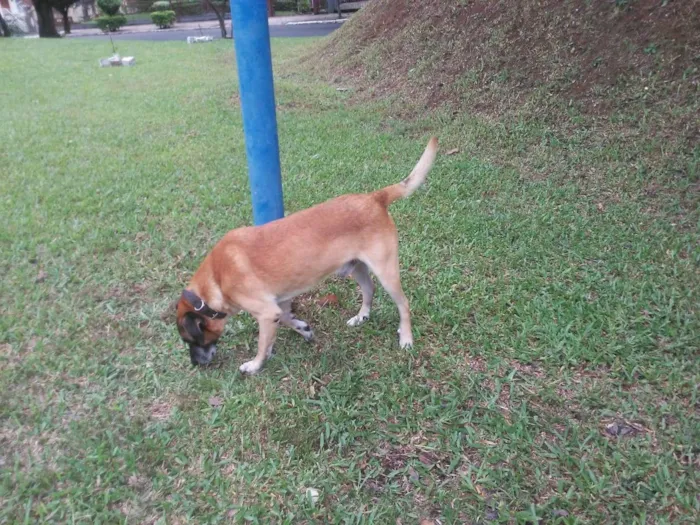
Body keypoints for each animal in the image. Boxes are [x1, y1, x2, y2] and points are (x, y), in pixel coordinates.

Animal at [175, 135, 438, 372]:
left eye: (190, 339)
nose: (195, 364)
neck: (216, 277)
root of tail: (374, 198)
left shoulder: (266, 312)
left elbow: (262, 345)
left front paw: (255, 364)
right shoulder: (278, 304)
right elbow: (286, 319)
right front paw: (303, 329)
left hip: (386, 272)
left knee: (403, 303)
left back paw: (406, 337)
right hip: (356, 267)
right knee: (369, 289)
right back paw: (361, 316)